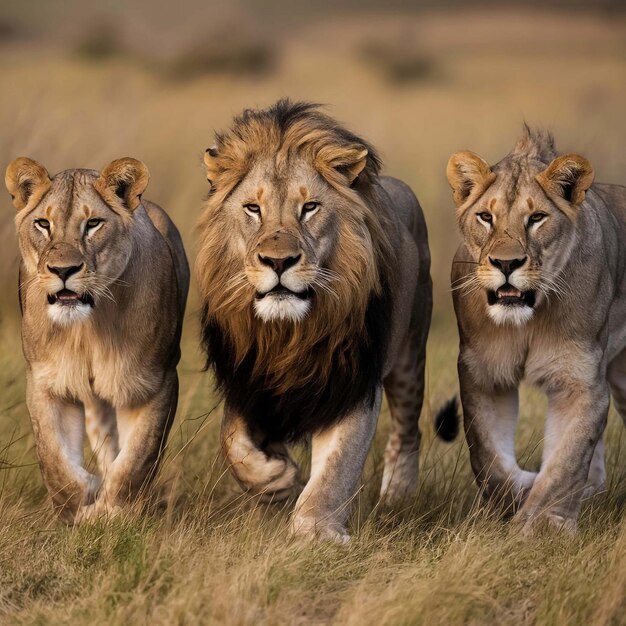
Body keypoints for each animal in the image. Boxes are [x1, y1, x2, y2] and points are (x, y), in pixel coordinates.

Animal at [6, 156, 188, 520]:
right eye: (43, 224)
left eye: (93, 224)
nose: (63, 270)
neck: (87, 328)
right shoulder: (47, 381)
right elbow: (53, 459)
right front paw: (80, 505)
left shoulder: (154, 382)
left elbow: (136, 460)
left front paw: (114, 512)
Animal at [197, 100, 432, 540]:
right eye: (253, 209)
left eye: (309, 208)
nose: (278, 262)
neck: (289, 334)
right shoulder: (247, 378)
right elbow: (231, 441)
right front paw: (276, 479)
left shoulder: (351, 381)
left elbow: (336, 468)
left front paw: (315, 531)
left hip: (410, 355)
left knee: (408, 429)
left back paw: (399, 496)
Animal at [444, 127, 624, 532]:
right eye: (485, 217)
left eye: (537, 218)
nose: (506, 263)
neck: (528, 318)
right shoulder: (482, 372)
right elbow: (487, 457)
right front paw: (521, 491)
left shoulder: (580, 382)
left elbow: (565, 463)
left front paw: (541, 526)